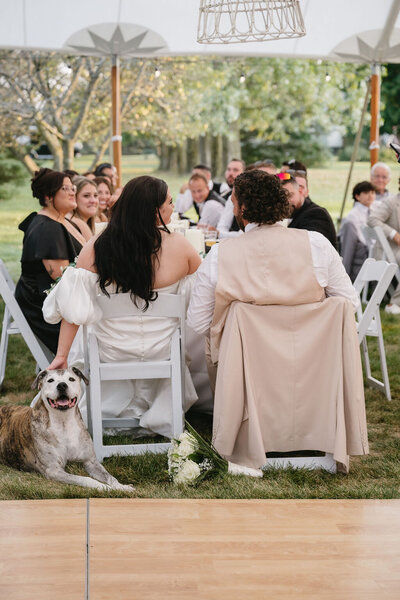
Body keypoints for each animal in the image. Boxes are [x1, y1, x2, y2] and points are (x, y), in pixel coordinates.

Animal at [0, 366, 134, 492]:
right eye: (50, 380)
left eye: (71, 379)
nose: (62, 385)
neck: (63, 422)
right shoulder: (53, 470)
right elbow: (85, 479)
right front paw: (106, 488)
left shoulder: (91, 462)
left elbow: (110, 477)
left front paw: (122, 487)